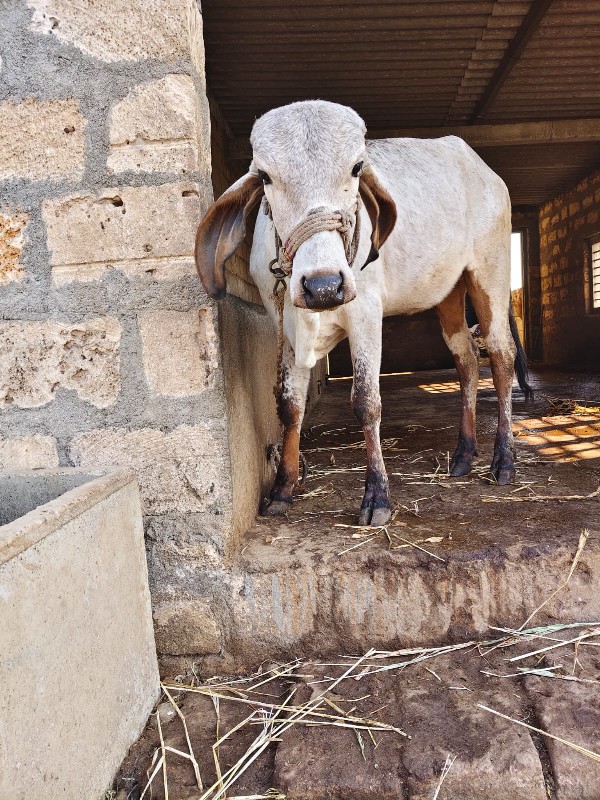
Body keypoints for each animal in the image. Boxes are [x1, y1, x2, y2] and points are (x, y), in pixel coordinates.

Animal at [197, 98, 528, 524]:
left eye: (356, 167)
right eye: (266, 176)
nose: (323, 285)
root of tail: (483, 168)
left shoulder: (366, 315)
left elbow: (367, 401)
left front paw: (377, 496)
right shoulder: (287, 327)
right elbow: (290, 405)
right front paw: (282, 489)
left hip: (490, 275)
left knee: (501, 356)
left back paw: (503, 461)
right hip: (449, 292)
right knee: (467, 360)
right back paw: (463, 456)